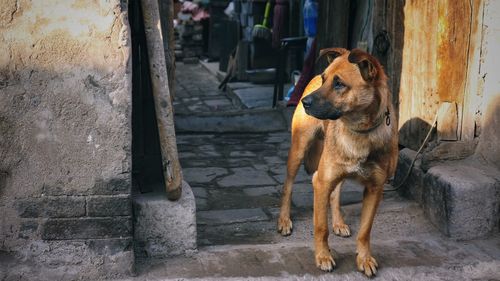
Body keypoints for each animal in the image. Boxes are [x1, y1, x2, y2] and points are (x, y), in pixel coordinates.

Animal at [278, 48, 398, 276]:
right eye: (326, 80)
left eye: (339, 84)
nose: (305, 102)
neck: (360, 132)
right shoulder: (321, 182)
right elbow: (320, 227)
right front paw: (323, 256)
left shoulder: (375, 189)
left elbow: (365, 231)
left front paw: (364, 259)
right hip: (298, 151)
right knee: (288, 186)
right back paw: (284, 220)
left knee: (336, 193)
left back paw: (339, 222)